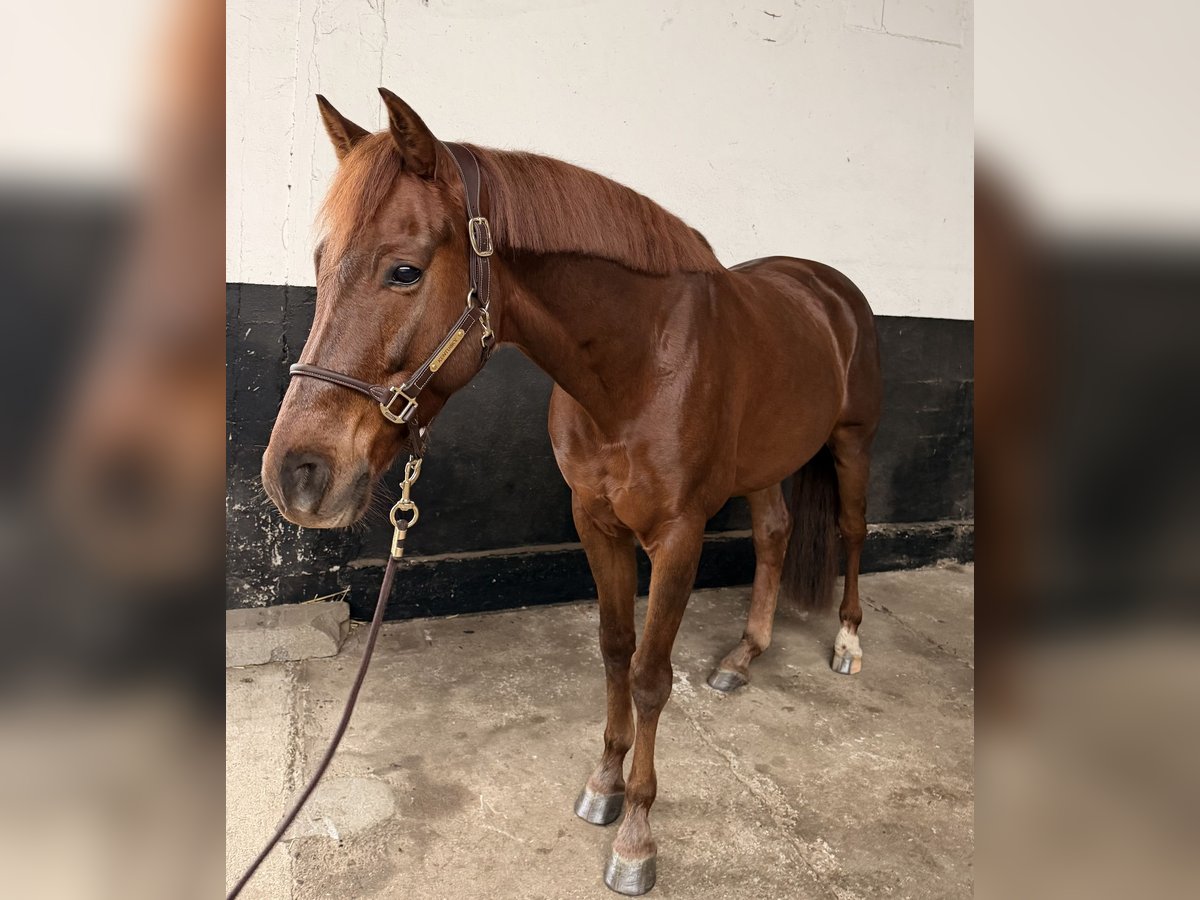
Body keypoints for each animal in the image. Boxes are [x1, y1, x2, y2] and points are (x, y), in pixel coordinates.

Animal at [261, 88, 882, 896]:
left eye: (403, 271)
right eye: (320, 262)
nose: (295, 474)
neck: (643, 363)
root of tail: (829, 287)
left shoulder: (679, 536)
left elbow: (650, 676)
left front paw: (638, 837)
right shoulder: (596, 522)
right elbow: (615, 652)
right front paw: (604, 786)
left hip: (851, 443)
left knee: (852, 532)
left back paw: (847, 643)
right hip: (770, 459)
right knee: (775, 535)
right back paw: (743, 657)